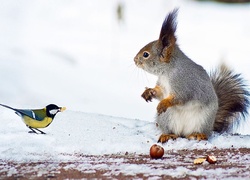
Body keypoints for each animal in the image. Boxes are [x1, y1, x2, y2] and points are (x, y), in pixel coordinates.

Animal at [134, 8, 249, 143]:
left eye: (146, 54)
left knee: (199, 131)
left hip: (203, 119)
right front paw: (149, 92)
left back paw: (198, 135)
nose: (134, 60)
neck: (167, 72)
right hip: (167, 117)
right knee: (173, 132)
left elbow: (180, 97)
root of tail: (184, 132)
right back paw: (167, 135)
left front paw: (164, 103)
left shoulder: (184, 83)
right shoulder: (163, 84)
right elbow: (160, 93)